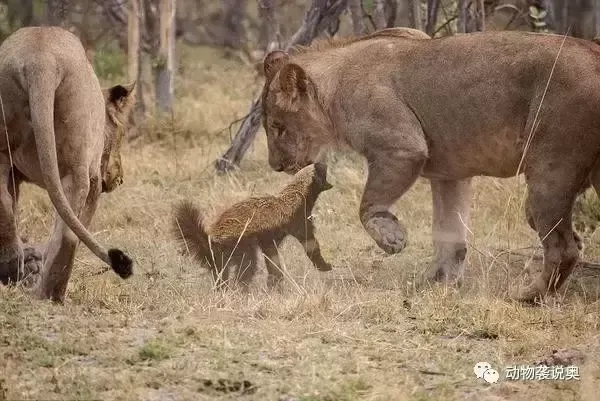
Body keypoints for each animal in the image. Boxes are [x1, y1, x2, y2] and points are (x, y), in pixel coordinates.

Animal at [0, 26, 136, 302]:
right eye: (121, 134)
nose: (120, 178)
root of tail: (40, 59)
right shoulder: (94, 178)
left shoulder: (14, 174)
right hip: (78, 167)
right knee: (66, 233)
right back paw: (49, 294)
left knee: (5, 205)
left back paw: (13, 271)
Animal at [172, 162, 332, 290]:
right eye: (322, 170)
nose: (324, 162)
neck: (297, 194)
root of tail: (211, 240)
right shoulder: (297, 221)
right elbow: (310, 244)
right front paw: (325, 266)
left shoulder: (270, 238)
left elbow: (272, 258)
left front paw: (274, 282)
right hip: (240, 245)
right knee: (247, 266)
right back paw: (241, 289)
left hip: (224, 257)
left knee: (221, 273)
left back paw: (222, 290)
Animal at [262, 27, 600, 304]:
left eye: (277, 127)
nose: (275, 166)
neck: (333, 91)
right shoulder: (450, 174)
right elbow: (449, 234)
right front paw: (435, 282)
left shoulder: (402, 147)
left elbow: (367, 205)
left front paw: (392, 239)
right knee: (568, 241)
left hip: (550, 169)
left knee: (563, 247)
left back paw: (528, 295)